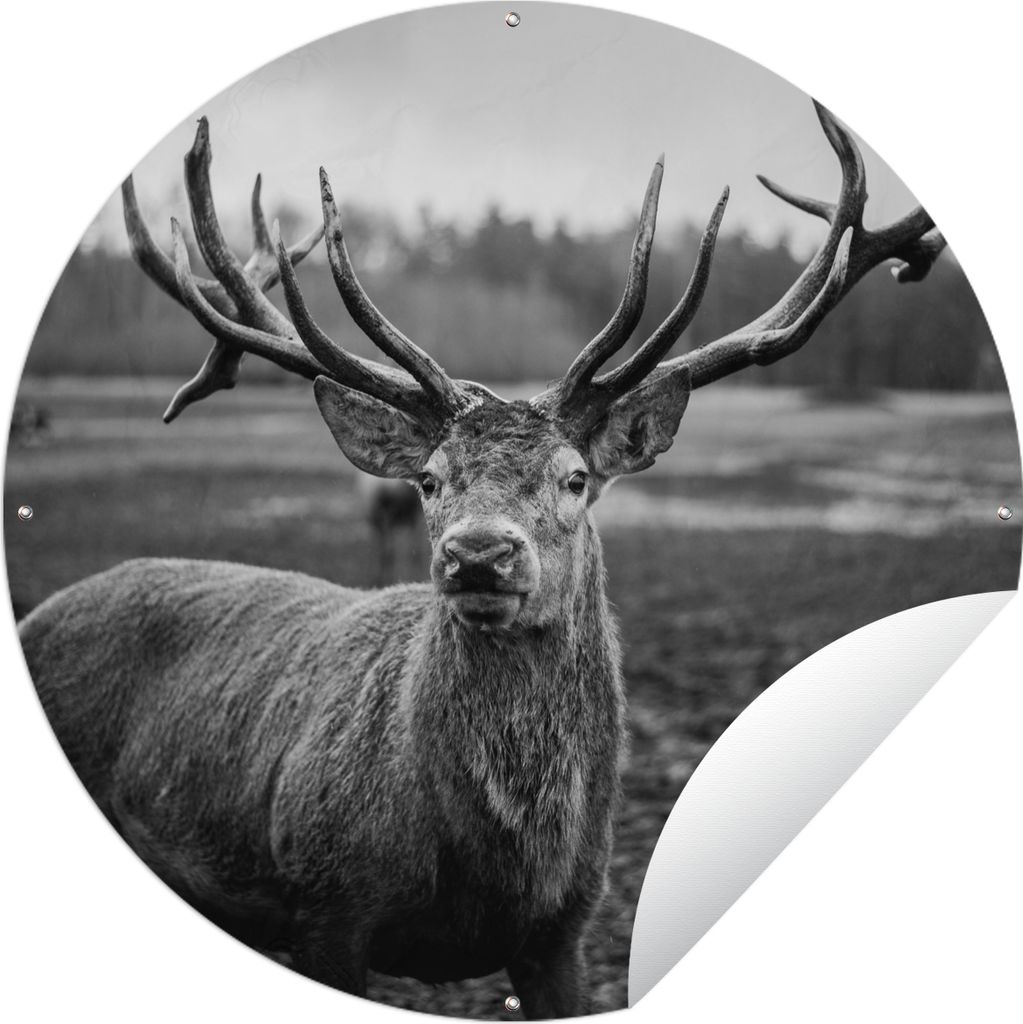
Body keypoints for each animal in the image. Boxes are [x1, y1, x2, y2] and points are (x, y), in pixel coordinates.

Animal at [18, 102, 944, 1018]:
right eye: (429, 480)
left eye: (575, 478)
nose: (478, 553)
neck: (496, 868)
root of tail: (38, 613)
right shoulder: (325, 903)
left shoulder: (565, 929)